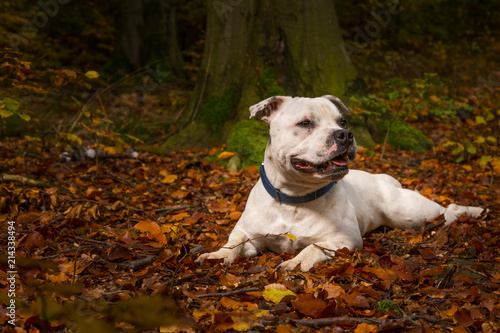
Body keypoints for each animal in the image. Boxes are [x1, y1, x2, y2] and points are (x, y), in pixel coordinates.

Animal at [197, 94, 486, 272]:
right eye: (305, 123)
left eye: (343, 121)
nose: (345, 133)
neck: (294, 198)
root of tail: (382, 177)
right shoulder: (250, 236)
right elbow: (233, 243)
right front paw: (217, 255)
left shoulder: (342, 240)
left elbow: (311, 248)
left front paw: (295, 263)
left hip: (410, 214)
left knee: (447, 210)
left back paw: (473, 211)